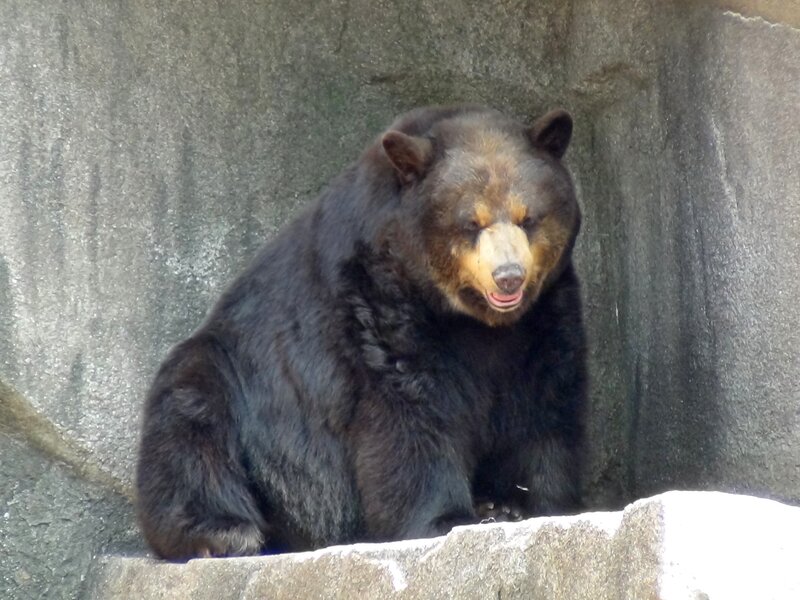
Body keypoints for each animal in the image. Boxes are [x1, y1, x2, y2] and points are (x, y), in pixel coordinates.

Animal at [136, 105, 587, 560]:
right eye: (471, 223)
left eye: (528, 218)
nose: (508, 277)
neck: (470, 317)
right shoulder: (377, 300)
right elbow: (407, 409)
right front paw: (444, 517)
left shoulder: (545, 315)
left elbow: (546, 400)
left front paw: (530, 503)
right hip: (234, 381)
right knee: (190, 424)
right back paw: (224, 531)